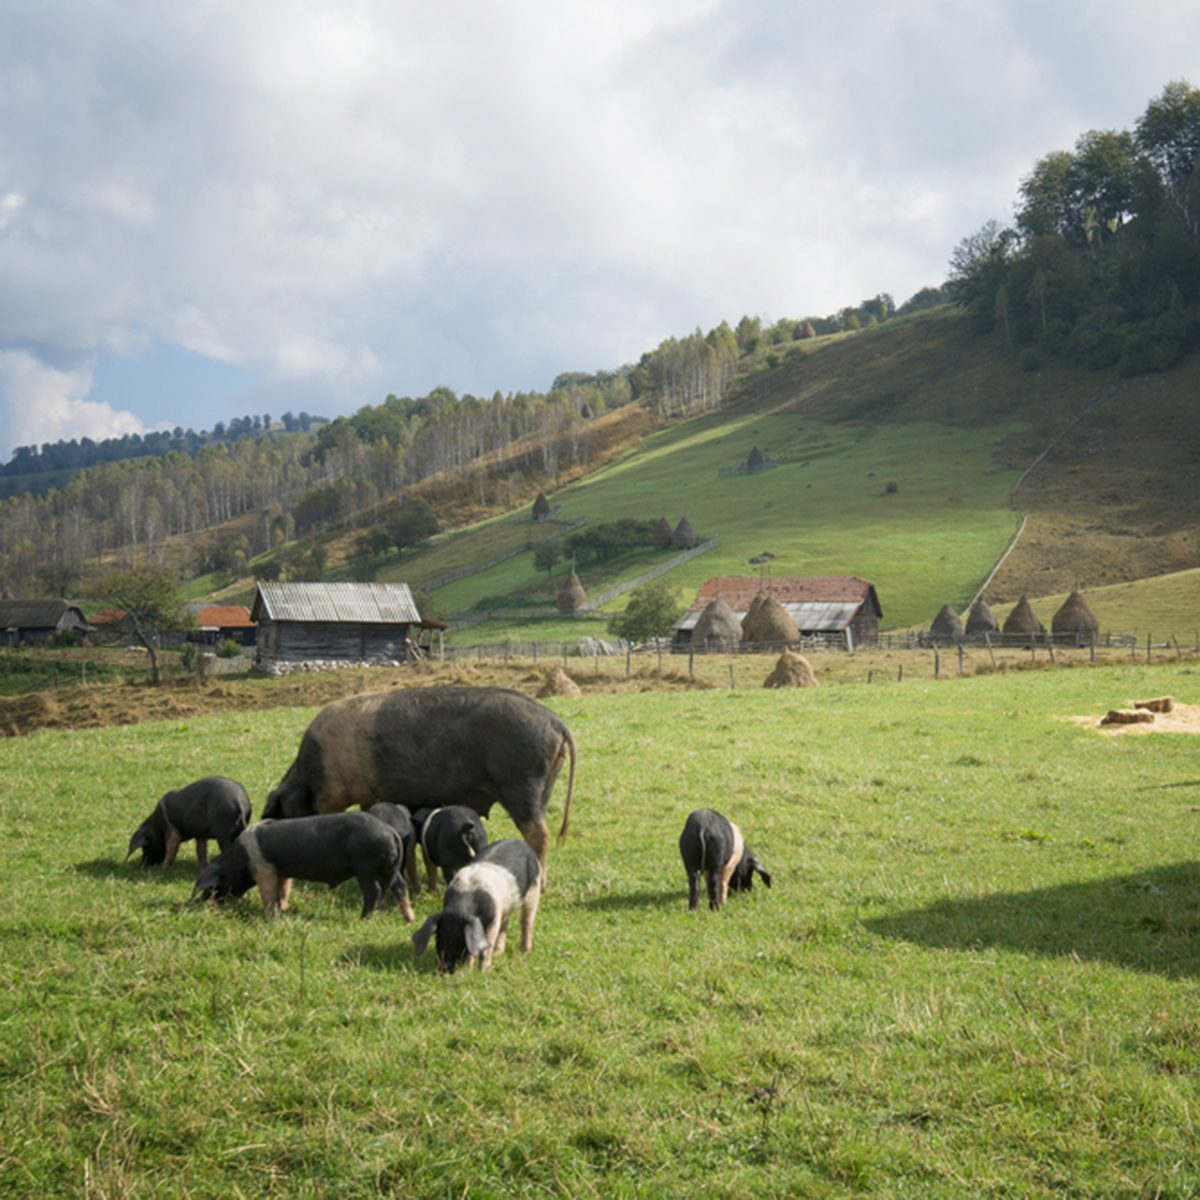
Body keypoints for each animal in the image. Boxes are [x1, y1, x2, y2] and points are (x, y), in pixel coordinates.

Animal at [192, 812, 414, 921]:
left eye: (215, 885)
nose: (204, 902)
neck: (240, 857)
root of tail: (390, 831)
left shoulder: (264, 867)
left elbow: (268, 893)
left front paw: (271, 916)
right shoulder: (282, 870)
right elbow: (282, 889)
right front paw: (283, 909)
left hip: (365, 867)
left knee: (373, 892)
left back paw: (363, 919)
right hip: (388, 868)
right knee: (400, 886)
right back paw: (409, 919)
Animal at [261, 687, 576, 884]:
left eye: (281, 811)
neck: (308, 775)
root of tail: (556, 722)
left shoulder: (331, 795)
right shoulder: (366, 795)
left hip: (522, 784)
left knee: (539, 834)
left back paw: (541, 884)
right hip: (544, 786)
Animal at [412, 839, 541, 973]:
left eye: (460, 940)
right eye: (438, 938)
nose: (444, 968)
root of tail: (521, 842)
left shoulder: (493, 920)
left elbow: (485, 947)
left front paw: (483, 971)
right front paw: (468, 969)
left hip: (534, 889)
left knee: (526, 921)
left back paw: (525, 952)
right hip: (506, 906)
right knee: (505, 923)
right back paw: (497, 953)